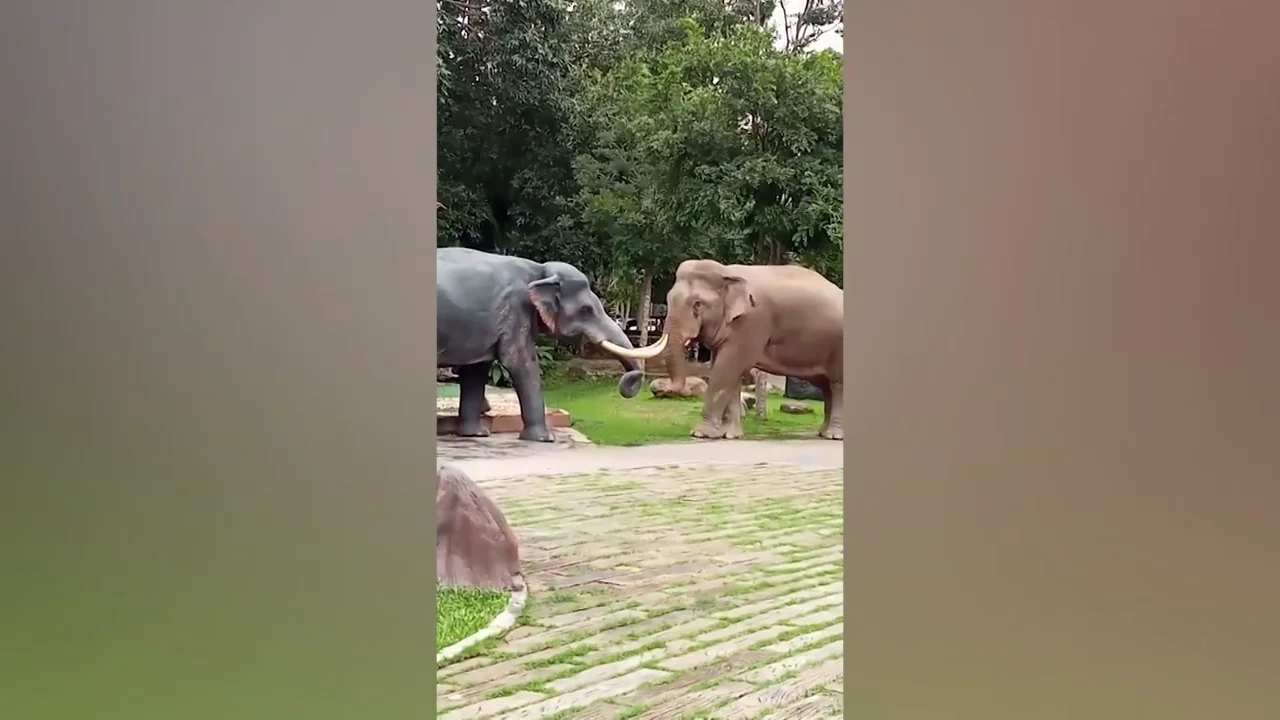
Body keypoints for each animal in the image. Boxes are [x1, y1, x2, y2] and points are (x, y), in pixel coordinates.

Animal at [437, 247, 660, 442]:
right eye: (586, 310)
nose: (626, 386)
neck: (540, 270)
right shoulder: (515, 310)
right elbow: (520, 362)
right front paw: (545, 439)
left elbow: (476, 369)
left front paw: (476, 434)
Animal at [612, 259, 843, 440]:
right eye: (668, 300)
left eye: (697, 304)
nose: (664, 388)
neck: (726, 272)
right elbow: (727, 371)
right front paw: (728, 435)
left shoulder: (752, 323)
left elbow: (727, 369)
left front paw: (700, 434)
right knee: (827, 386)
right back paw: (823, 433)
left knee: (838, 384)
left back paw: (834, 436)